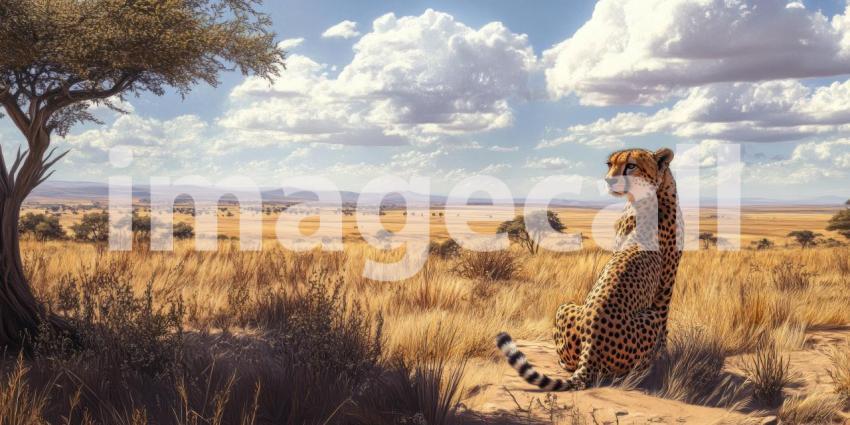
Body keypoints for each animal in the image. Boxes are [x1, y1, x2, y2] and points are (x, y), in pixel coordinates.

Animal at [496, 147, 683, 391]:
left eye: (631, 165)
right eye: (610, 164)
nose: (609, 180)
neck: (661, 191)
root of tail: (591, 346)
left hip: (571, 308)